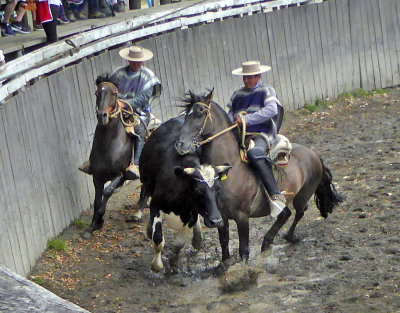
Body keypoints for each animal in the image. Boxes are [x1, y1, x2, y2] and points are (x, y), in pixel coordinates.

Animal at [138, 116, 230, 270]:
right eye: (198, 190)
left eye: (218, 188)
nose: (216, 221)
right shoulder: (156, 204)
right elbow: (158, 239)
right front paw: (157, 265)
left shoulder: (190, 214)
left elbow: (179, 243)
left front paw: (173, 262)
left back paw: (198, 239)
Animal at [175, 91, 344, 260]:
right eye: (186, 114)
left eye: (199, 113)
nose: (180, 144)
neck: (232, 169)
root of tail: (314, 154)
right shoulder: (220, 215)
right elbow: (224, 241)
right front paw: (224, 263)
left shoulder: (242, 216)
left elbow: (244, 250)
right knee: (286, 214)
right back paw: (268, 243)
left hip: (303, 195)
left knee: (298, 212)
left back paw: (288, 236)